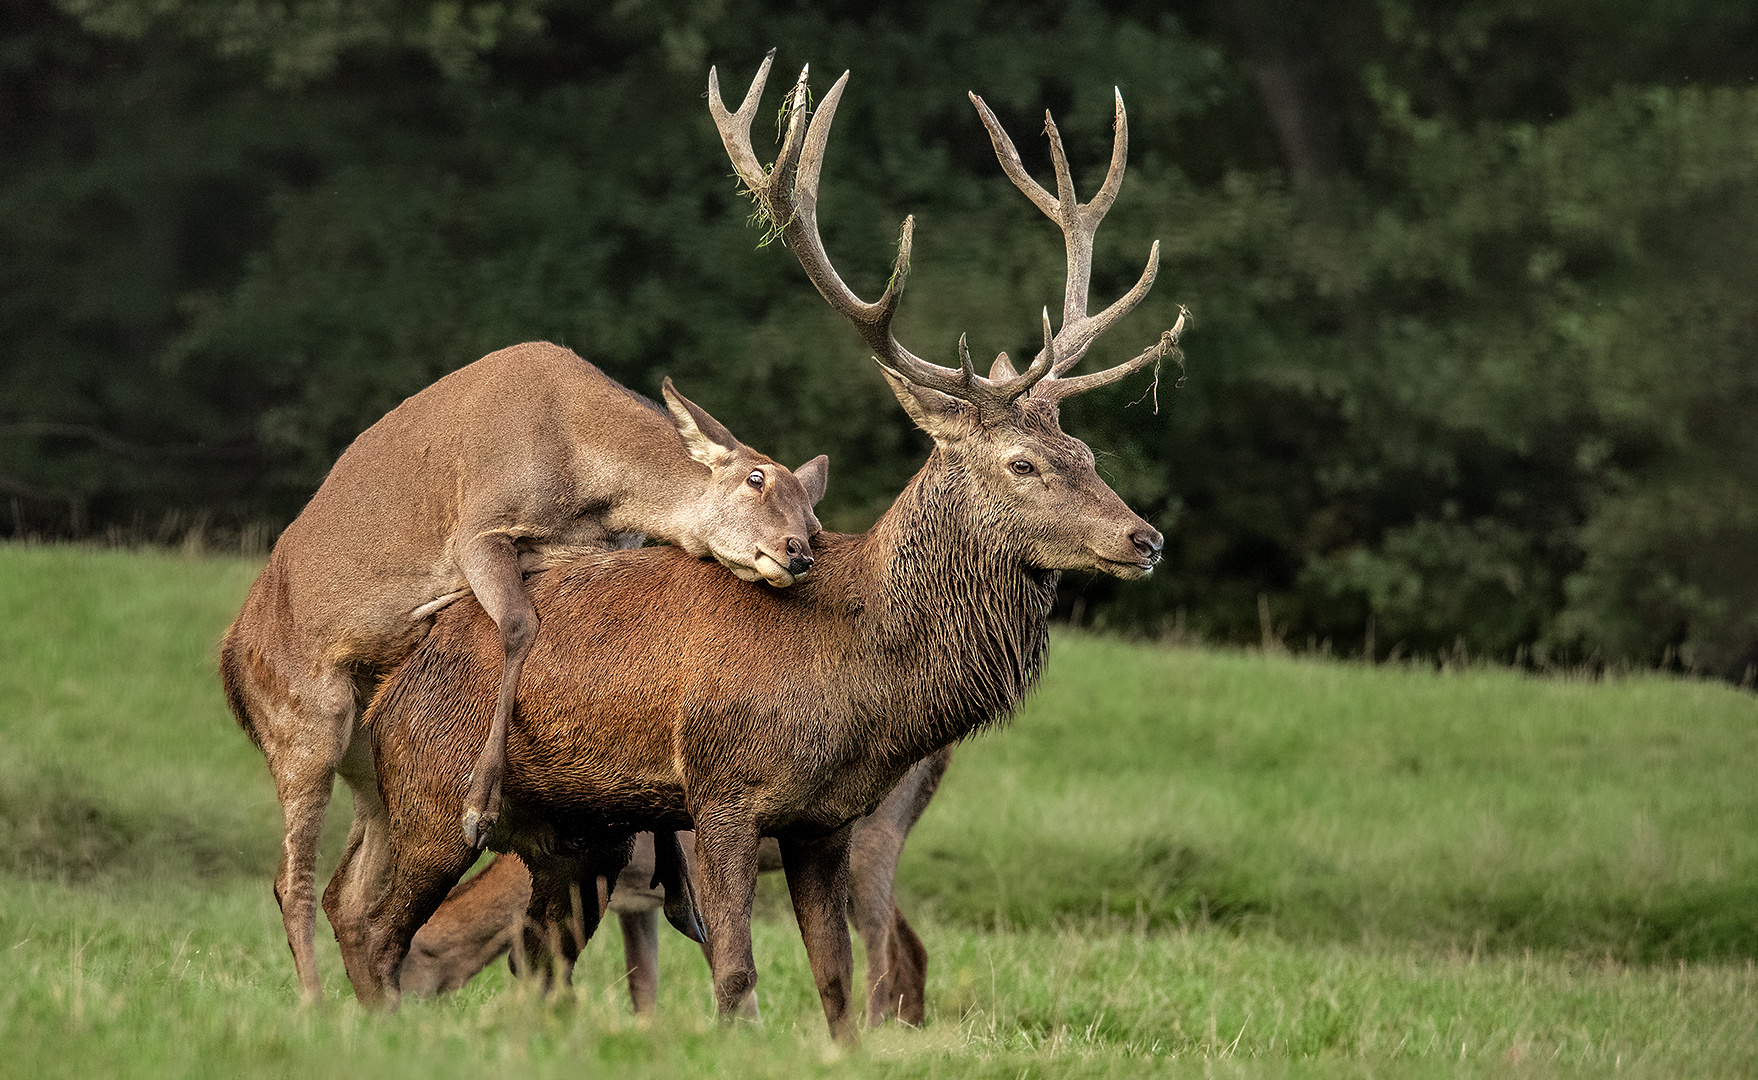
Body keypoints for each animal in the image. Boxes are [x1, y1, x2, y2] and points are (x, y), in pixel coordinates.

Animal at [223, 342, 826, 1006]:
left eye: (814, 517)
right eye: (755, 478)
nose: (798, 550)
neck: (585, 483)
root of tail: (230, 666)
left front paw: (683, 896)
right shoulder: (478, 527)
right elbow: (518, 628)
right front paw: (480, 807)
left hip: (370, 765)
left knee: (348, 893)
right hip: (304, 720)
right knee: (292, 879)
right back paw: (313, 1001)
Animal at [393, 749, 956, 1027]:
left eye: (415, 955)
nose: (400, 1013)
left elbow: (721, 963)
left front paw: (748, 1033)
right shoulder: (634, 901)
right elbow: (642, 982)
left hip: (872, 837)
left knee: (881, 941)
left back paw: (876, 1027)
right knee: (911, 944)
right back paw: (909, 1026)